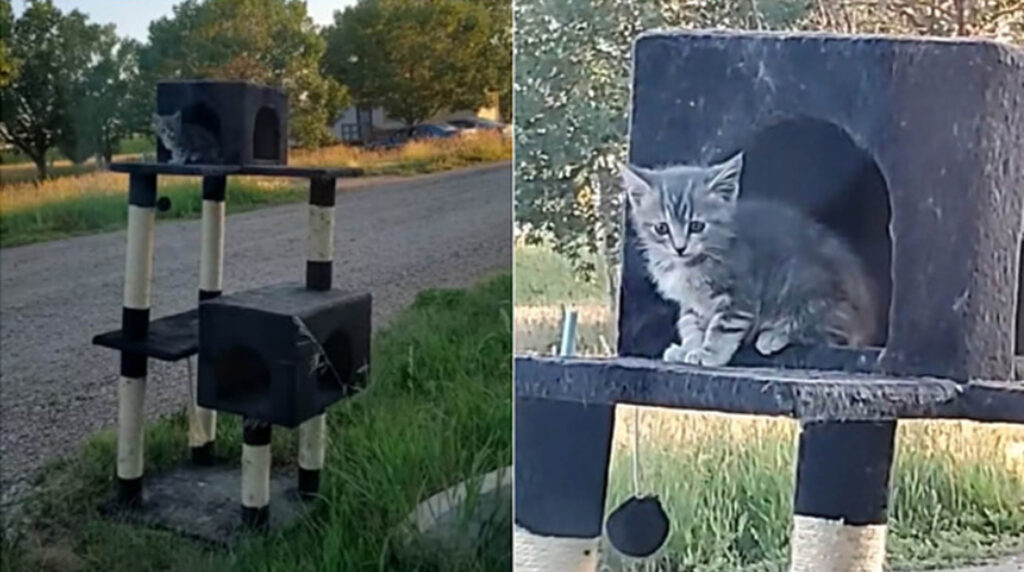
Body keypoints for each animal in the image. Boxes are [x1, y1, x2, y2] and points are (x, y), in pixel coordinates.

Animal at [618, 153, 876, 366]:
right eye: (661, 228)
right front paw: (688, 348)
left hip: (808, 289)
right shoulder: (692, 302)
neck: (691, 263)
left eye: (696, 226)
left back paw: (775, 335)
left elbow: (723, 327)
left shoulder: (740, 293)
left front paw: (709, 353)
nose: (680, 248)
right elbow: (690, 322)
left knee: (830, 333)